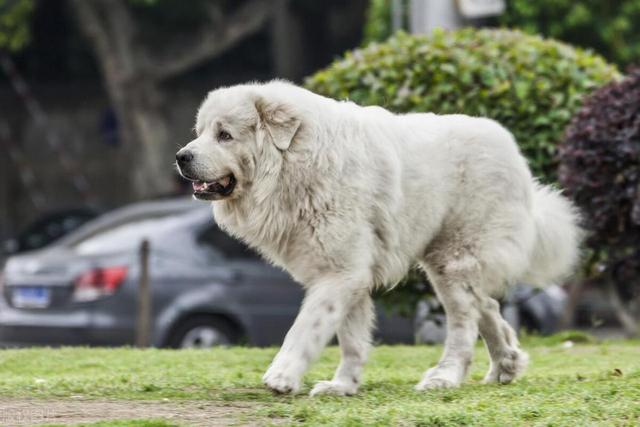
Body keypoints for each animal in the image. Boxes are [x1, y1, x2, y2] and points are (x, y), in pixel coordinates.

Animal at [175, 81, 580, 398]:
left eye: (225, 135)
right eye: (200, 131)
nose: (181, 156)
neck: (298, 162)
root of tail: (510, 148)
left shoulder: (339, 272)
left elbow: (305, 328)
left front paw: (283, 376)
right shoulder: (349, 272)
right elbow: (350, 338)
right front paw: (343, 386)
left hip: (454, 261)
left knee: (464, 322)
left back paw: (446, 376)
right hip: (450, 261)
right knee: (489, 307)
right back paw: (506, 364)